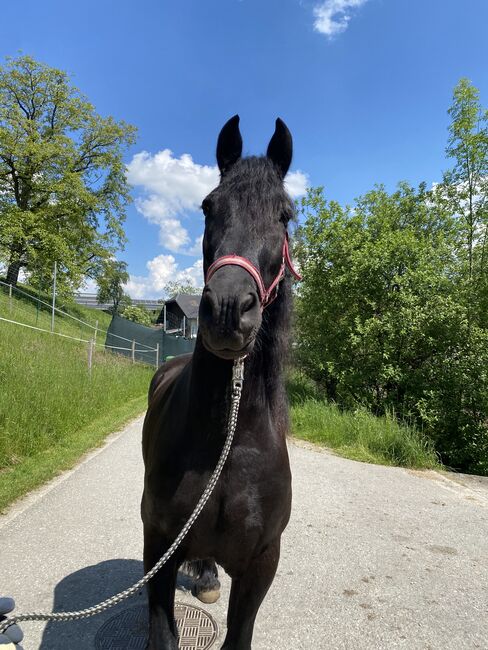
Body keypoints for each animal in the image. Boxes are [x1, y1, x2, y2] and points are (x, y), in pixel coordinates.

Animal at [142, 116, 298, 648]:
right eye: (209, 206)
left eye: (286, 215)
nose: (229, 308)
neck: (230, 443)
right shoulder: (158, 548)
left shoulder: (262, 565)